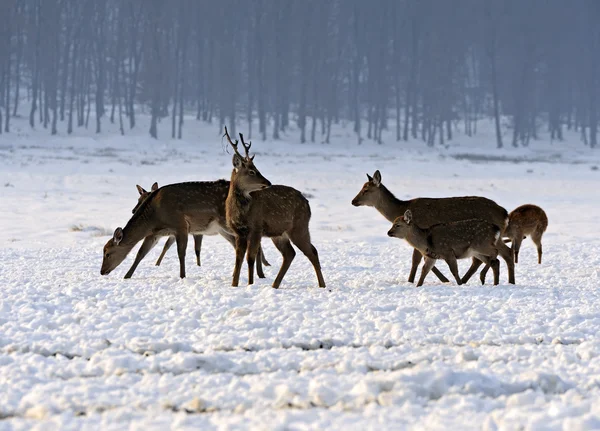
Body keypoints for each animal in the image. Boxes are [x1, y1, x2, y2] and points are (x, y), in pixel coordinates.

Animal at [102, 180, 270, 278]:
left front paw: (182, 275)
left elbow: (181, 253)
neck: (154, 216)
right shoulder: (155, 233)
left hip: (229, 222)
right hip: (224, 229)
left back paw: (260, 273)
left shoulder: (181, 225)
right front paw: (127, 276)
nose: (102, 271)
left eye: (108, 253)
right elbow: (140, 253)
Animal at [223, 128, 326, 290]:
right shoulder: (238, 231)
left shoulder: (256, 227)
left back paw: (322, 285)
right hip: (279, 233)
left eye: (256, 169)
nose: (268, 182)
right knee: (290, 253)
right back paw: (274, 285)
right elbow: (238, 259)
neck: (241, 213)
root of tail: (307, 203)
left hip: (299, 226)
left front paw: (250, 284)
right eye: (251, 171)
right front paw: (234, 285)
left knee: (312, 252)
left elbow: (250, 258)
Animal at [352, 170, 516, 286]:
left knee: (493, 256)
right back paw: (507, 281)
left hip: (488, 238)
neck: (400, 208)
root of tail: (505, 213)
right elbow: (424, 259)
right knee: (504, 253)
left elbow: (416, 260)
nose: (353, 201)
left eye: (366, 190)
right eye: (362, 187)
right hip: (495, 238)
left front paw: (413, 280)